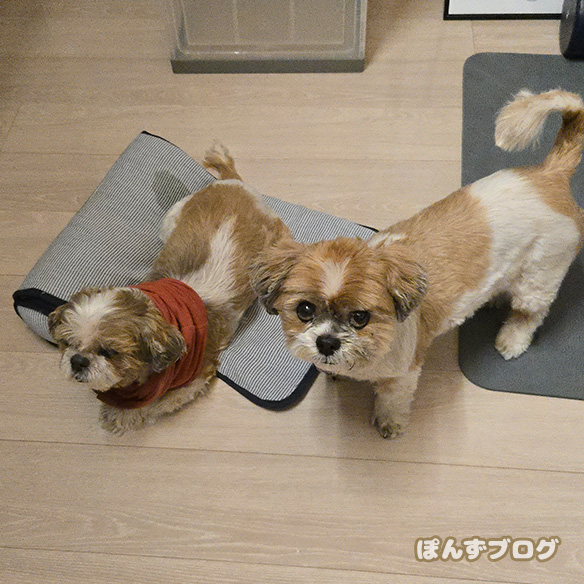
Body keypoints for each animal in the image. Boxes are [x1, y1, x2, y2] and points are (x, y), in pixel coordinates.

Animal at [49, 145, 290, 434]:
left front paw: (123, 414)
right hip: (172, 217)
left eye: (110, 352)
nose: (78, 360)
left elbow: (157, 404)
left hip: (272, 237)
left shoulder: (197, 375)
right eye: (67, 343)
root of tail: (235, 183)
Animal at [251, 89, 584, 439]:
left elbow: (393, 400)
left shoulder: (403, 373)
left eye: (360, 317)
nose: (326, 342)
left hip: (542, 272)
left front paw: (389, 422)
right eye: (304, 310)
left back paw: (513, 337)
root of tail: (549, 174)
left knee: (531, 312)